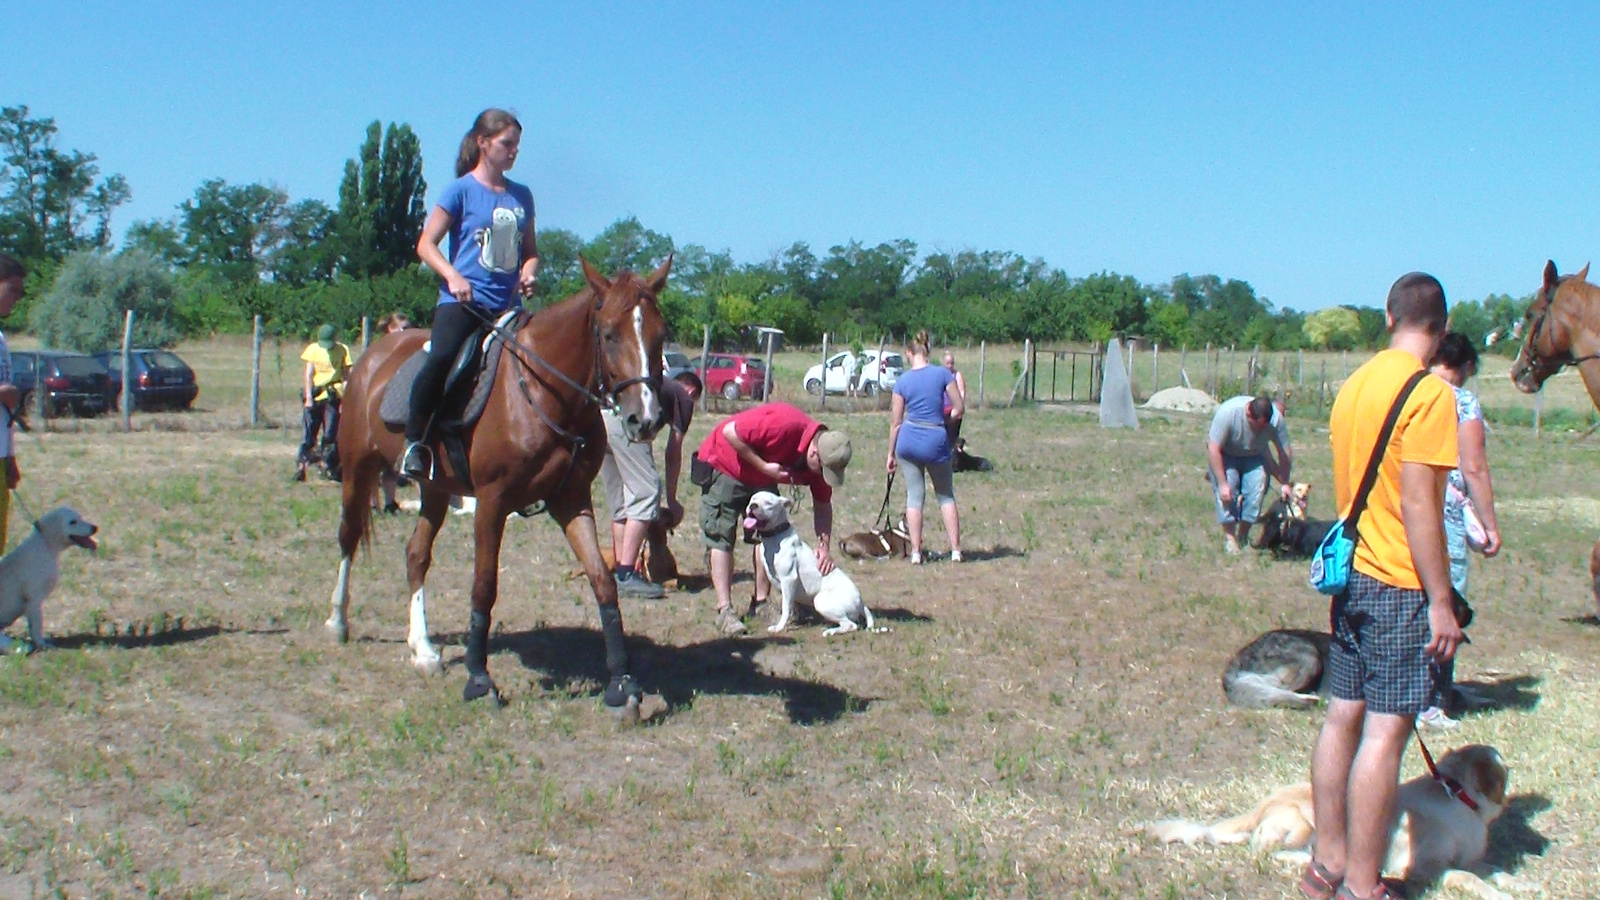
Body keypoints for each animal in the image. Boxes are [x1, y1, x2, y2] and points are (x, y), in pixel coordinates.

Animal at [0, 506, 99, 650]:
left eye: (81, 517)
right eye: (73, 522)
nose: (95, 528)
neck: (47, 545)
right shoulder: (34, 599)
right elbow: (37, 626)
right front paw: (42, 644)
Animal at [331, 256, 668, 704]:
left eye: (660, 335)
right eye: (609, 334)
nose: (644, 419)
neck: (544, 392)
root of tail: (373, 357)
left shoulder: (572, 500)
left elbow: (602, 580)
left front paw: (621, 683)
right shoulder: (492, 503)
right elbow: (484, 586)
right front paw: (479, 678)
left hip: (434, 488)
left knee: (416, 554)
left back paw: (423, 649)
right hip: (356, 467)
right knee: (349, 536)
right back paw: (338, 621)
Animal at [745, 490, 883, 630]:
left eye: (768, 503)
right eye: (753, 499)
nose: (753, 506)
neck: (776, 535)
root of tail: (861, 602)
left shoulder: (788, 579)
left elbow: (785, 608)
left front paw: (780, 627)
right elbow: (791, 606)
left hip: (821, 601)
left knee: (850, 625)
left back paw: (830, 631)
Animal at [1145, 743, 1529, 896]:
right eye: (1505, 771)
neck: (1460, 799)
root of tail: (1260, 804)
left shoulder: (1470, 859)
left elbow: (1490, 868)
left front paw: (1518, 882)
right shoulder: (1425, 870)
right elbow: (1469, 878)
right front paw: (1496, 894)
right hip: (1304, 823)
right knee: (1265, 851)